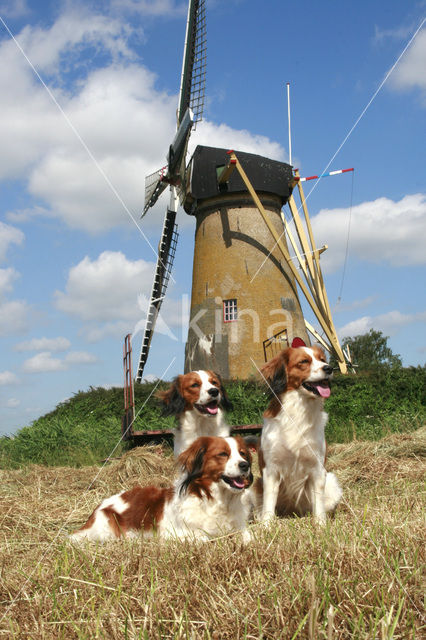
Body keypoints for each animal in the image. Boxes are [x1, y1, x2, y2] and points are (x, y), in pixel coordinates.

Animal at [69, 432, 253, 544]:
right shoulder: (177, 535)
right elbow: (206, 539)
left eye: (243, 453)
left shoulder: (240, 529)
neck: (217, 500)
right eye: (223, 454)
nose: (245, 465)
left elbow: (249, 536)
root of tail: (98, 507)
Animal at [253, 340, 342, 524]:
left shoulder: (317, 469)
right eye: (304, 362)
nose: (329, 368)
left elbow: (318, 504)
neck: (299, 410)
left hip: (331, 481)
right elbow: (269, 502)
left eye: (322, 359)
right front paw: (266, 525)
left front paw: (321, 525)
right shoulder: (271, 470)